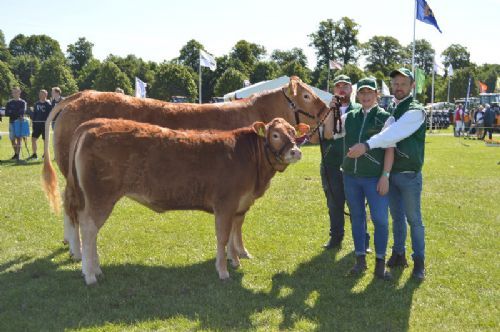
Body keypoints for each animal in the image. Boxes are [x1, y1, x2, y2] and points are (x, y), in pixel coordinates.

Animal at [43, 76, 328, 260]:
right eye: (306, 95)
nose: (327, 110)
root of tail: (80, 95)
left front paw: (238, 252)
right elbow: (237, 223)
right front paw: (240, 253)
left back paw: (71, 245)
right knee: (74, 210)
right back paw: (78, 251)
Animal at [65, 117, 308, 286]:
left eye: (293, 131)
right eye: (275, 134)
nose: (295, 152)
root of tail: (94, 123)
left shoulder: (239, 205)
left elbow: (233, 235)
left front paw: (235, 260)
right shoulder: (225, 204)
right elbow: (222, 237)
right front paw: (223, 271)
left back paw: (95, 269)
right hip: (99, 196)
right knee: (88, 229)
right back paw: (90, 274)